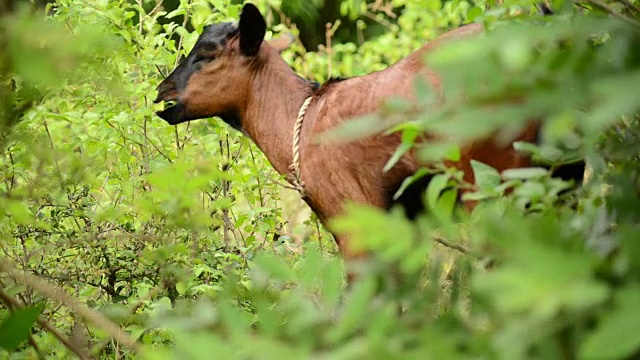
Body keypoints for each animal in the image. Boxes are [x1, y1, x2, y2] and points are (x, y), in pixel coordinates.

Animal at [155, 4, 584, 260]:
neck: (300, 119)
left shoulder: (354, 219)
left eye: (207, 54)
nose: (162, 92)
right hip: (562, 174)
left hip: (494, 180)